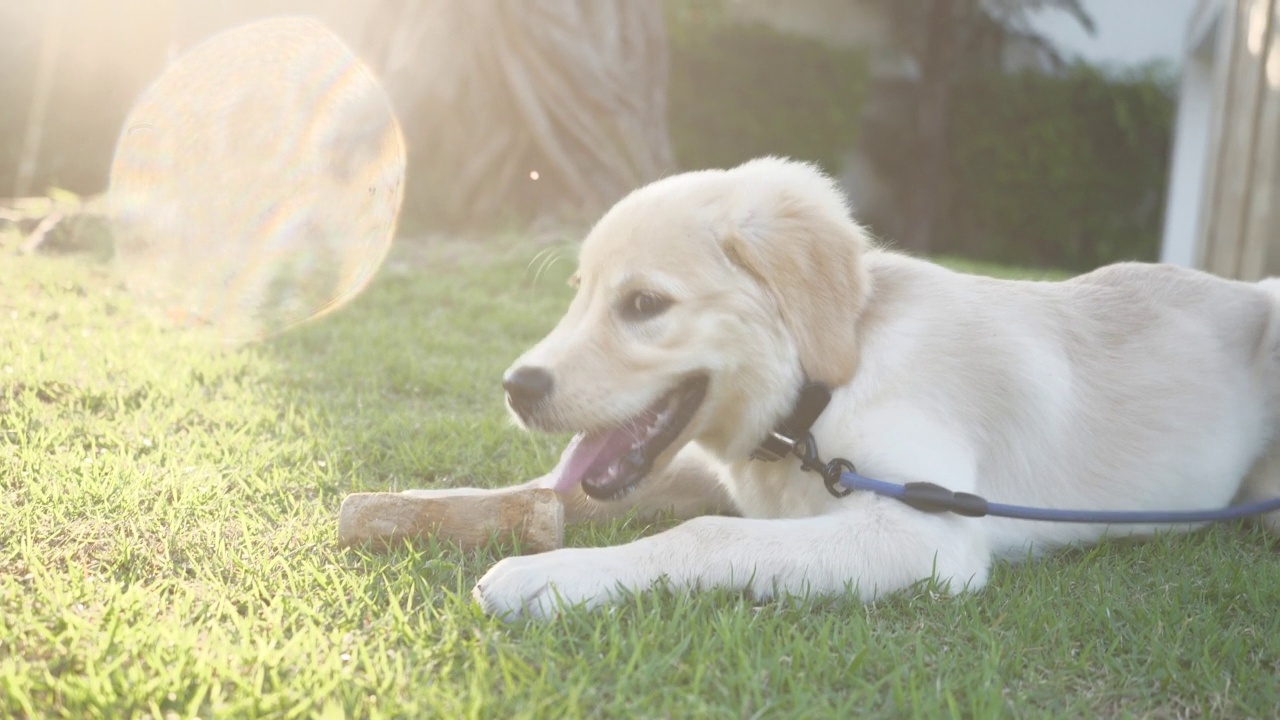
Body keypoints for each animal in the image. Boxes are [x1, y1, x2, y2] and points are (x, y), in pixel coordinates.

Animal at [460, 155, 1280, 617]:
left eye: (643, 305)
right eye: (580, 294)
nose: (515, 386)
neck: (818, 401)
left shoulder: (930, 533)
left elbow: (708, 532)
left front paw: (554, 576)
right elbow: (549, 491)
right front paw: (472, 505)